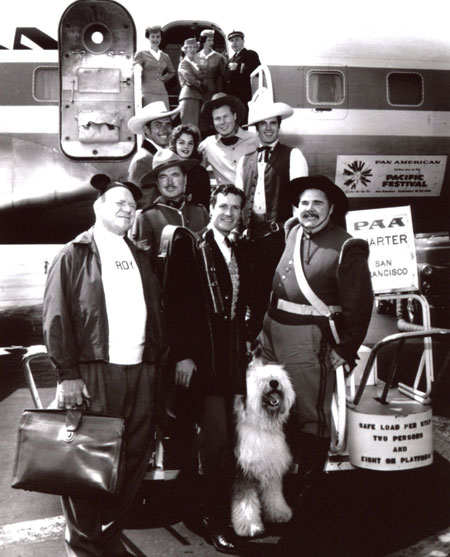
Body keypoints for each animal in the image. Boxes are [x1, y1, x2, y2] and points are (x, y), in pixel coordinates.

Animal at [232, 358, 296, 536]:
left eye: (277, 376)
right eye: (260, 379)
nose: (274, 383)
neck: (261, 427)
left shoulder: (271, 469)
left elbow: (274, 495)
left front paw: (279, 513)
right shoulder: (244, 473)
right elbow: (246, 502)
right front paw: (249, 526)